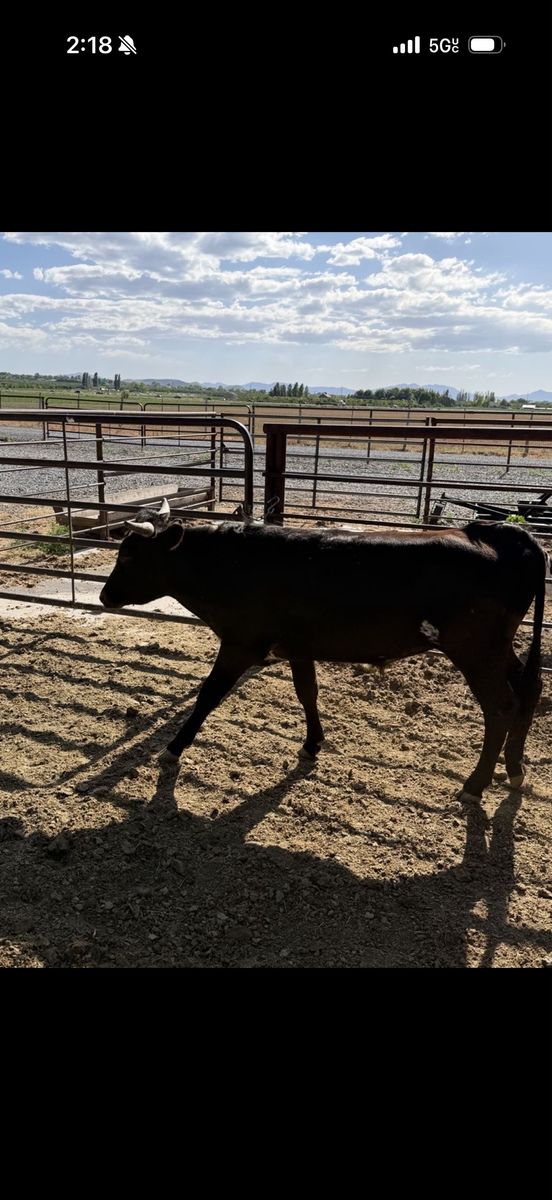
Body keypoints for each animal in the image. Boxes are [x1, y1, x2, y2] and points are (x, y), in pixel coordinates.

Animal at [99, 499, 548, 801]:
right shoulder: (299, 646)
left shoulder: (240, 643)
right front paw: (313, 743)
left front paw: (174, 748)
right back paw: (515, 768)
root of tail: (500, 534)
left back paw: (476, 784)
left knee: (501, 708)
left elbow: (209, 694)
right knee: (529, 691)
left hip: (475, 650)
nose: (104, 595)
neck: (235, 564)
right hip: (497, 649)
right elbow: (307, 693)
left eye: (129, 555)